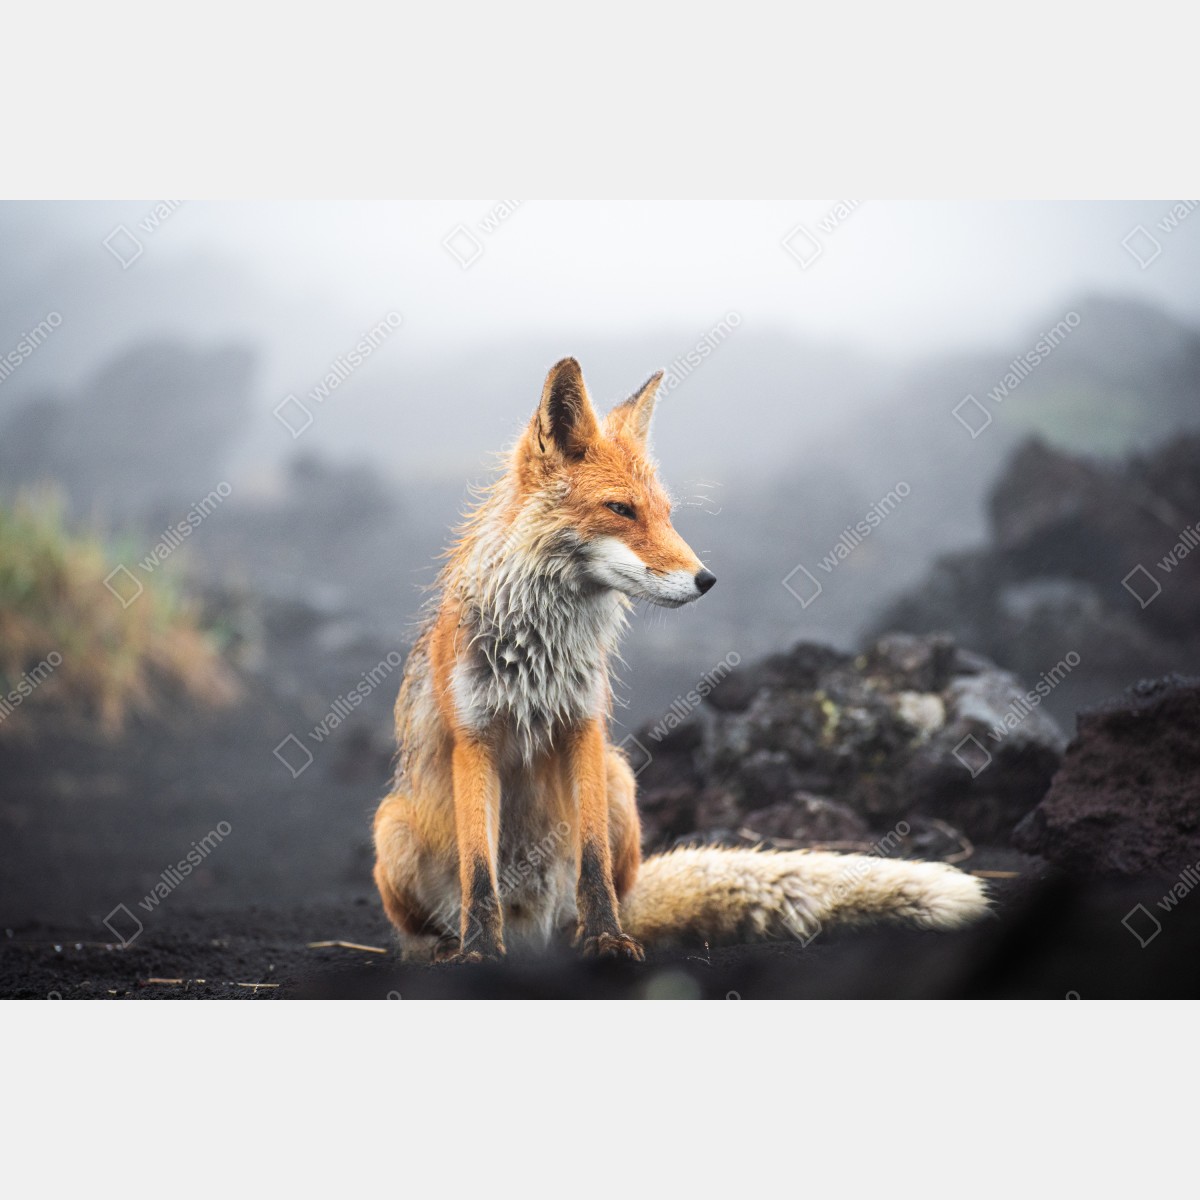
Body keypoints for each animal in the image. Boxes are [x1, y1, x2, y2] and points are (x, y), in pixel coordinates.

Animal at [372, 357, 988, 961]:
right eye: (620, 509)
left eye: (666, 513)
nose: (707, 579)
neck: (539, 654)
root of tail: (533, 934)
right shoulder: (474, 738)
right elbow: (479, 871)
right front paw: (479, 951)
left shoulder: (584, 726)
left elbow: (593, 862)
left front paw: (606, 939)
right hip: (391, 827)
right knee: (423, 927)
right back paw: (444, 948)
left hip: (619, 780)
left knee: (606, 893)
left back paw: (582, 935)